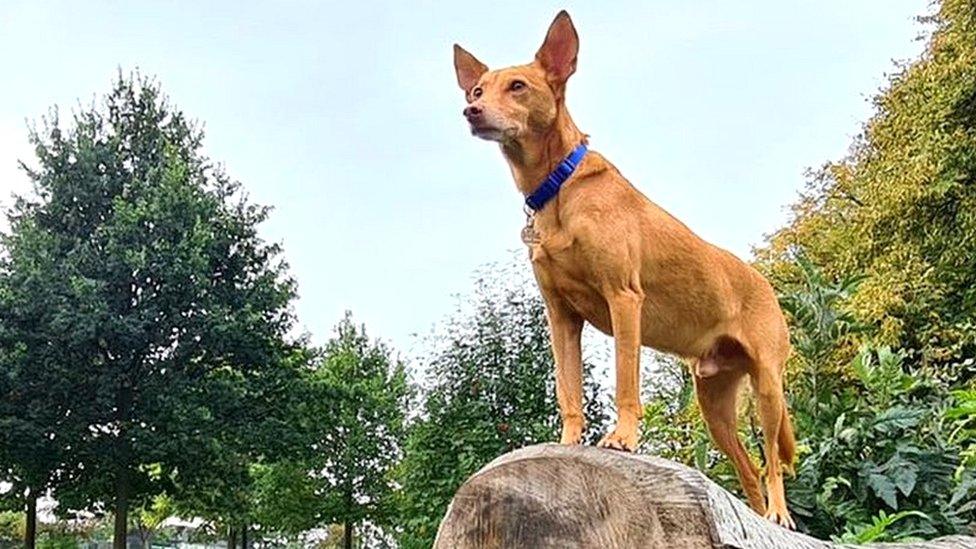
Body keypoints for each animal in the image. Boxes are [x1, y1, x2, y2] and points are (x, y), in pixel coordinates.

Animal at [454, 9, 796, 528]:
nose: (471, 111)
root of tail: (763, 280)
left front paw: (622, 440)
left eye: (517, 86)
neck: (557, 189)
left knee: (773, 460)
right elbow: (568, 391)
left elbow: (625, 383)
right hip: (714, 404)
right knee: (750, 470)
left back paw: (779, 514)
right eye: (477, 90)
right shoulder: (561, 316)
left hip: (768, 387)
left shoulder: (623, 299)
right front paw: (567, 444)